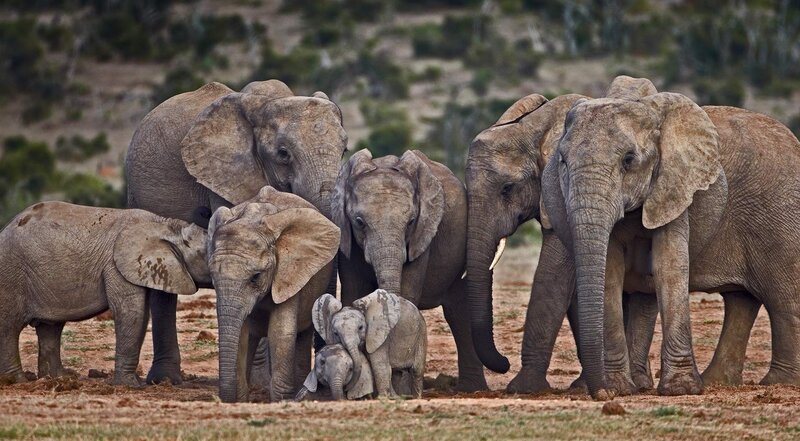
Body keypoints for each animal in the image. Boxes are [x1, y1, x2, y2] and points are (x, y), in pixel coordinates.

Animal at [0, 201, 209, 386]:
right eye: (205, 254)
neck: (168, 226)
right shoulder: (116, 266)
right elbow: (130, 312)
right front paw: (129, 385)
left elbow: (141, 316)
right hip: (11, 273)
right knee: (10, 327)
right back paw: (17, 381)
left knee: (50, 328)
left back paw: (59, 379)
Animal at [207, 186, 340, 402]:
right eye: (212, 276)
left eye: (256, 277)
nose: (222, 399)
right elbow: (241, 335)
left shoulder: (289, 274)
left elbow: (280, 333)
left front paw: (281, 401)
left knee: (302, 335)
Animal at [332, 149, 486, 391]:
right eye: (359, 222)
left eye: (411, 221)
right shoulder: (347, 240)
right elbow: (353, 291)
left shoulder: (422, 237)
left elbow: (408, 290)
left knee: (459, 312)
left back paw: (472, 389)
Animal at [541, 89, 800, 398]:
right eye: (563, 162)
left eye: (629, 160)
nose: (602, 394)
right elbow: (610, 272)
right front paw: (621, 389)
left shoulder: (675, 187)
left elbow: (669, 266)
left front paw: (680, 389)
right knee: (741, 300)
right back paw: (717, 382)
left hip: (779, 213)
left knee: (782, 296)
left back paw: (779, 383)